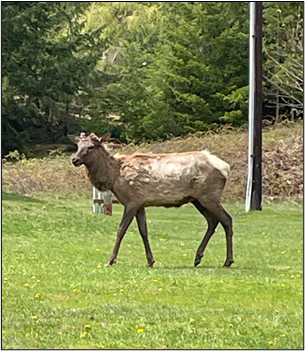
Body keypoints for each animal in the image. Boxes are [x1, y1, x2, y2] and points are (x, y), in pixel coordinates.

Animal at [71, 133, 233, 268]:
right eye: (78, 145)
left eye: (91, 147)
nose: (74, 159)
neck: (113, 177)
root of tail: (226, 167)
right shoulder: (140, 204)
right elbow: (144, 231)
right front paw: (150, 261)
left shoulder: (132, 201)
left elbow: (121, 230)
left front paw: (110, 261)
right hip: (197, 199)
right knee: (212, 221)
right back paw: (198, 258)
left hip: (209, 195)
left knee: (227, 219)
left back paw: (227, 261)